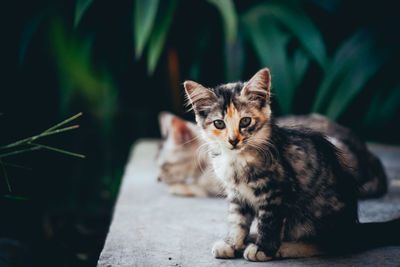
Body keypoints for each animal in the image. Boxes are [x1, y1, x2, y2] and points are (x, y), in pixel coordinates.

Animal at [184, 67, 396, 262]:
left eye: (245, 121)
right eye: (219, 124)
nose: (233, 140)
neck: (236, 159)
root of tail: (355, 228)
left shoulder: (276, 191)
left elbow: (268, 223)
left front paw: (263, 249)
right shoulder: (237, 195)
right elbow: (237, 221)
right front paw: (232, 243)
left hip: (312, 218)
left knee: (327, 244)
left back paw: (282, 248)